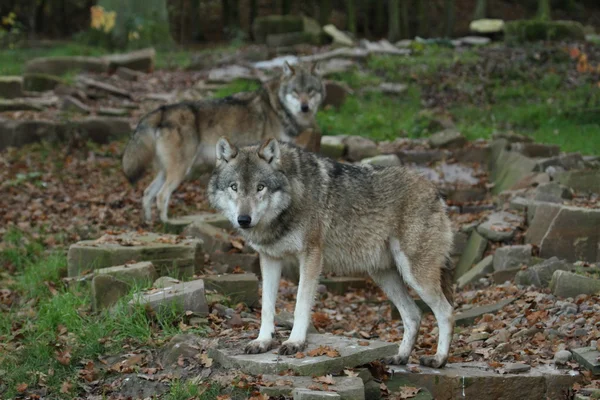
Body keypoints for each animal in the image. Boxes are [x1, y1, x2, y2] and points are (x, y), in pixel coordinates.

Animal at [120, 62, 324, 222]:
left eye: (310, 91)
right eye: (296, 91)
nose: (305, 107)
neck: (276, 107)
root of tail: (161, 110)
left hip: (166, 171)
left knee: (147, 193)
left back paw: (148, 222)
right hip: (180, 170)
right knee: (162, 196)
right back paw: (166, 224)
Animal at [210, 138, 454, 368]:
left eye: (260, 187)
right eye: (234, 187)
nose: (244, 219)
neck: (294, 195)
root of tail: (435, 191)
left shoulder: (311, 256)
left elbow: (301, 305)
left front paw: (295, 342)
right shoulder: (270, 259)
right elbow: (266, 307)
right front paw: (262, 341)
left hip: (415, 276)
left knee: (446, 312)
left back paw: (439, 359)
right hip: (384, 276)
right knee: (413, 315)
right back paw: (400, 357)